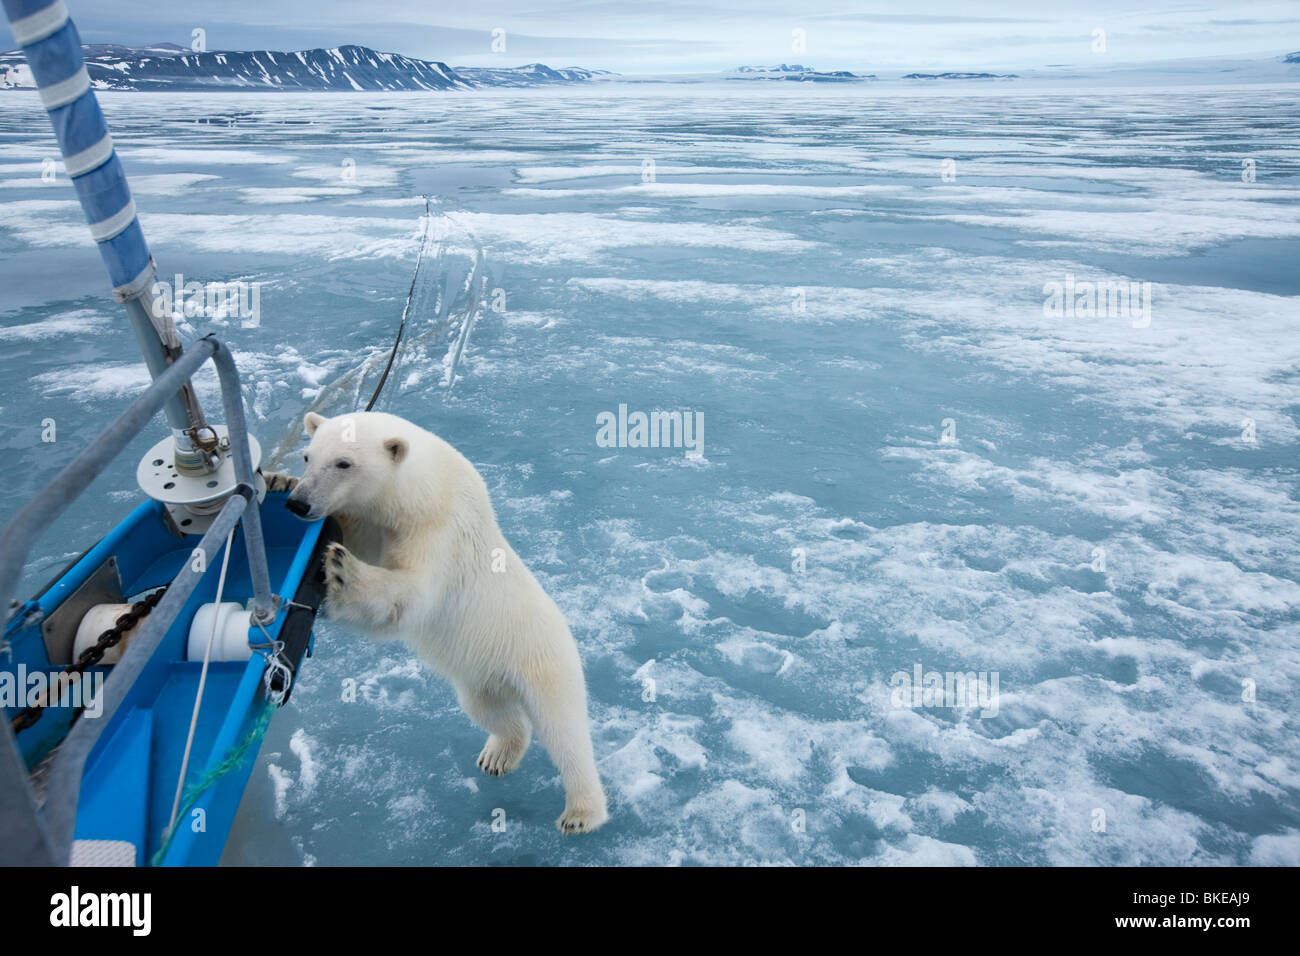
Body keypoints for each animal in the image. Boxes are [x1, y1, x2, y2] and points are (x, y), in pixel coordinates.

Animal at [266, 410, 608, 834]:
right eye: (307, 457)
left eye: (343, 463)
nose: (299, 504)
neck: (424, 491)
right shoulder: (380, 523)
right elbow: (361, 537)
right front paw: (276, 480)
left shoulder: (440, 528)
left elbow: (410, 594)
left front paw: (341, 572)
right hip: (480, 675)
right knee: (492, 713)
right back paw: (498, 754)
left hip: (542, 658)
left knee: (564, 731)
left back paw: (581, 813)